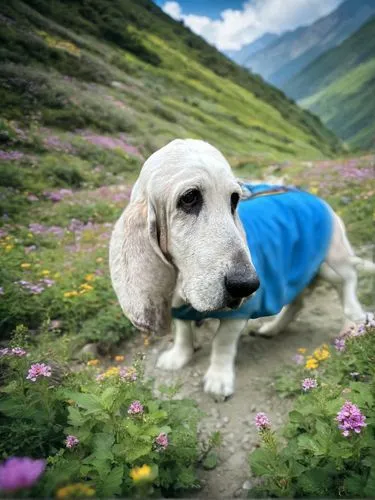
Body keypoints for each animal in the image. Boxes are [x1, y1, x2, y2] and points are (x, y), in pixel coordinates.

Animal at [109, 138, 375, 398]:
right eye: (189, 197)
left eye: (234, 199)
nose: (247, 285)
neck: (183, 283)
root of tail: (319, 200)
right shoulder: (177, 308)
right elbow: (183, 332)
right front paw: (178, 357)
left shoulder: (237, 316)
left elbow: (222, 344)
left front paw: (218, 380)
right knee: (297, 303)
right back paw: (273, 328)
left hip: (332, 262)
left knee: (347, 284)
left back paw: (354, 323)